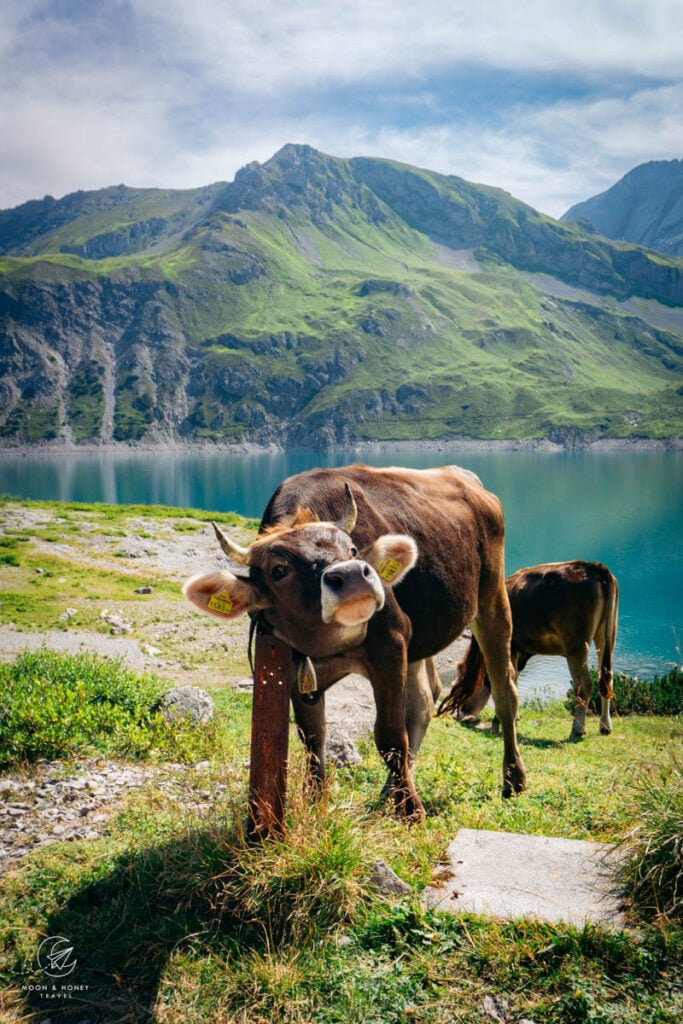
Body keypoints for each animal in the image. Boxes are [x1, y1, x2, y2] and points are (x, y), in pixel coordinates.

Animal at [184, 468, 528, 819]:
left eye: (352, 550)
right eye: (278, 570)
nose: (352, 575)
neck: (330, 646)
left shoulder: (391, 644)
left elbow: (390, 736)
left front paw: (411, 811)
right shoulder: (293, 665)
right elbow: (312, 738)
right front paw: (316, 803)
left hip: (492, 597)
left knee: (504, 692)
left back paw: (513, 780)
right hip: (422, 636)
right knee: (425, 699)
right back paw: (391, 790)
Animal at [438, 561, 618, 737]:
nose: (459, 715)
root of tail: (593, 566)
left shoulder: (508, 647)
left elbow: (504, 682)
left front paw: (498, 722)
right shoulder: (518, 650)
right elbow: (514, 680)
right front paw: (514, 717)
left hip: (576, 643)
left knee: (584, 684)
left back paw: (577, 730)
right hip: (607, 636)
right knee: (606, 678)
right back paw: (605, 727)